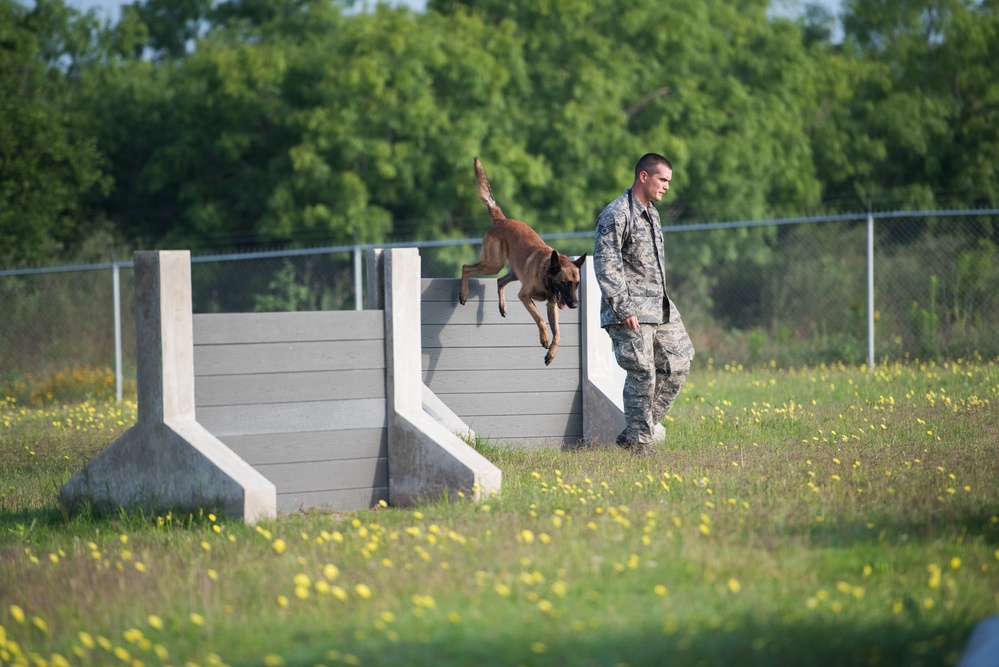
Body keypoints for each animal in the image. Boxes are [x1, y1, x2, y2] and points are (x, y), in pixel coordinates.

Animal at [458, 157, 584, 366]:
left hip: (513, 272)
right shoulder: (524, 296)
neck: (545, 273)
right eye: (566, 283)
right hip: (494, 264)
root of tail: (501, 219)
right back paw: (464, 294)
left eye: (577, 284)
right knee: (466, 267)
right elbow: (540, 320)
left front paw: (551, 354)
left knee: (500, 281)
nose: (574, 305)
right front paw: (544, 339)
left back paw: (502, 306)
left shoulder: (552, 306)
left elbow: (558, 334)